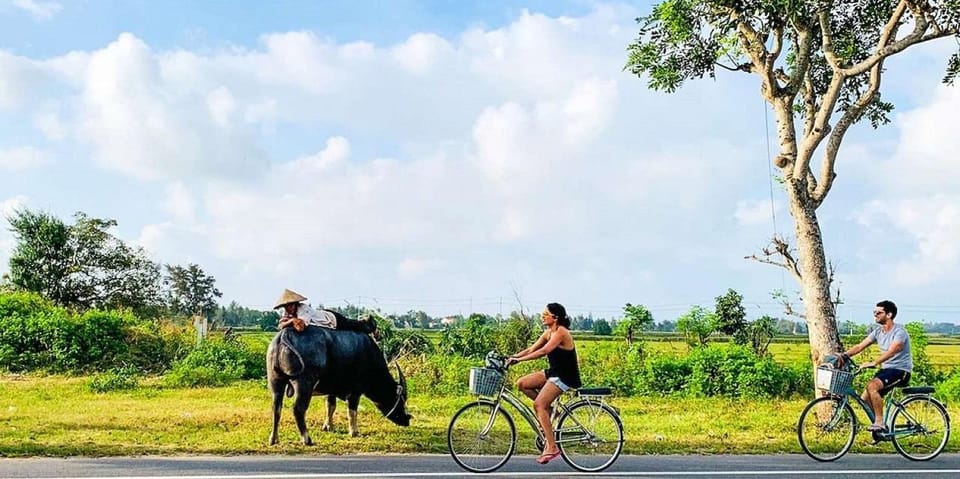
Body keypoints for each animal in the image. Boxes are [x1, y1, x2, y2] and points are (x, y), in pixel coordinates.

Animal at [268, 326, 410, 446]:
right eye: (401, 400)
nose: (407, 420)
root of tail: (285, 334)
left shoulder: (331, 390)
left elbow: (330, 406)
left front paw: (328, 426)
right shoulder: (355, 391)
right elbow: (352, 411)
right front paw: (354, 432)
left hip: (276, 381)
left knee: (276, 408)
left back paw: (274, 439)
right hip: (304, 383)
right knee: (298, 409)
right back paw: (307, 439)